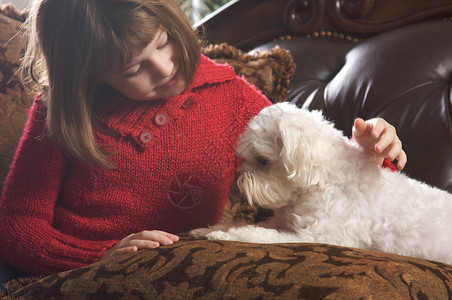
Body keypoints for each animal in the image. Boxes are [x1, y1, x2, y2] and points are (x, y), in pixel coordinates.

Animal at [191, 102, 452, 264]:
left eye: (262, 160)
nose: (240, 182)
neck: (321, 179)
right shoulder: (281, 222)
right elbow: (242, 222)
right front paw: (207, 229)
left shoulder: (316, 236)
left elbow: (256, 234)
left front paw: (224, 235)